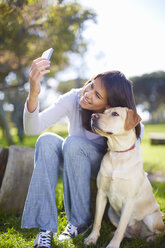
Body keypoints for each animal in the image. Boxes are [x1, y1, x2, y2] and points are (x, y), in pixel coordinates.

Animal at [84, 107, 164, 248]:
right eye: (104, 112)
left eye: (115, 114)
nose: (93, 115)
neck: (118, 153)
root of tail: (138, 235)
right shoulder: (101, 193)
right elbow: (97, 221)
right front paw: (92, 238)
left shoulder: (129, 201)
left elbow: (120, 228)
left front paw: (113, 245)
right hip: (111, 212)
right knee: (126, 232)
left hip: (151, 218)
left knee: (159, 232)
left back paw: (151, 239)